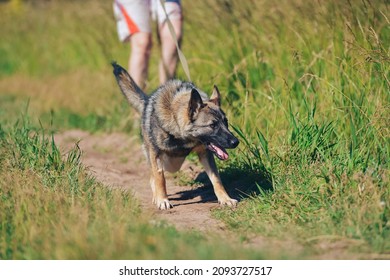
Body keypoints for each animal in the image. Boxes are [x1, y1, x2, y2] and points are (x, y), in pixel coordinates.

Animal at [111, 62, 239, 209]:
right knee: (153, 176)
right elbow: (160, 178)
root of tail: (146, 101)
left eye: (226, 122)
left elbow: (216, 179)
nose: (236, 142)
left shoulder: (205, 154)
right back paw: (156, 196)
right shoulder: (156, 155)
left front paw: (225, 198)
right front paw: (162, 200)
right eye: (212, 125)